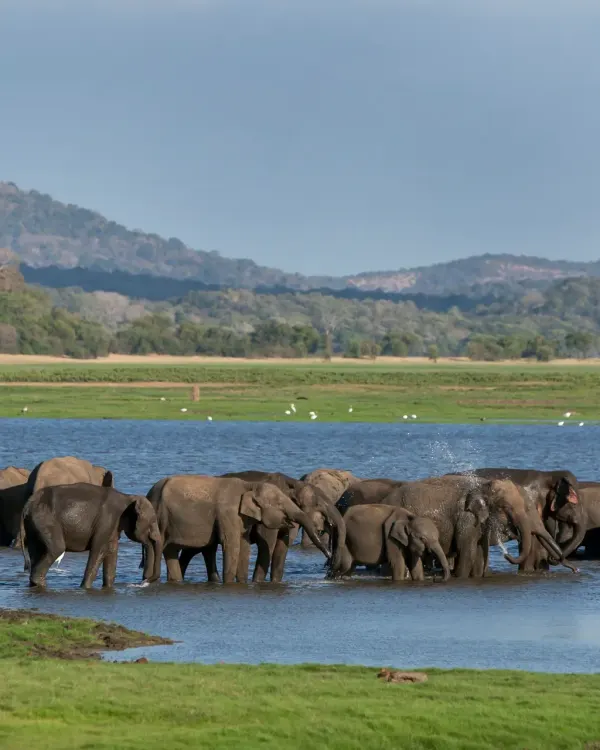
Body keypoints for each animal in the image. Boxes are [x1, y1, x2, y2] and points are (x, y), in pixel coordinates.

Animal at [21, 483, 162, 589]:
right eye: (153, 522)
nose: (144, 582)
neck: (128, 498)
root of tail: (27, 505)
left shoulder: (113, 526)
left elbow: (111, 552)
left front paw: (108, 587)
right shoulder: (106, 521)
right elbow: (99, 549)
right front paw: (85, 588)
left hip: (34, 526)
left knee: (36, 551)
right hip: (45, 521)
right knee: (57, 548)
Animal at [146, 476, 331, 584]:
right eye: (280, 504)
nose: (328, 558)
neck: (250, 485)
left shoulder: (242, 518)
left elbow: (244, 546)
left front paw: (241, 582)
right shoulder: (228, 513)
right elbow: (232, 545)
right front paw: (229, 584)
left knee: (171, 550)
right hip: (159, 516)